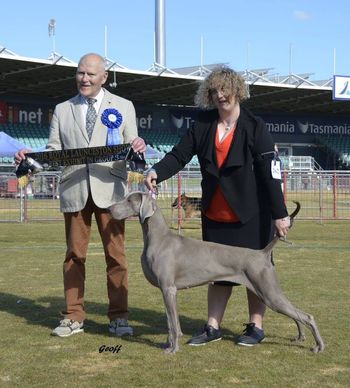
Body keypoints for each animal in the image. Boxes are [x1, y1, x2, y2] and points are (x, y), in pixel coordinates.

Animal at [110, 192, 326, 354]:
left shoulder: (169, 289)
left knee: (307, 316)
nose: (109, 209)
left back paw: (319, 346)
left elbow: (173, 324)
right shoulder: (166, 291)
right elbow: (171, 322)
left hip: (268, 292)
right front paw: (168, 344)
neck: (158, 238)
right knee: (296, 314)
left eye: (129, 200)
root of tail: (262, 252)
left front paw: (173, 349)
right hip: (265, 292)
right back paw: (300, 336)